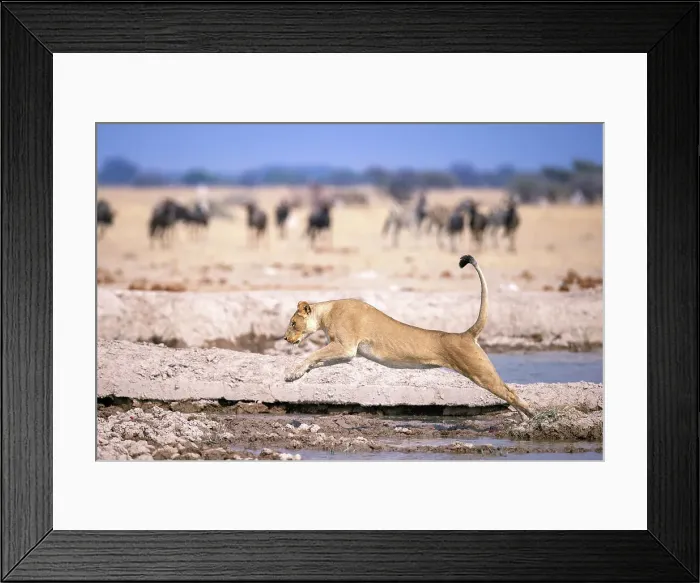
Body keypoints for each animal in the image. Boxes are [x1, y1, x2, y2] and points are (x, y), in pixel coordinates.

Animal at [282, 255, 534, 420]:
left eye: (293, 323)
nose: (285, 338)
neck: (327, 312)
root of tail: (465, 334)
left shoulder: (346, 347)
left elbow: (312, 354)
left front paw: (292, 372)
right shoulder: (346, 353)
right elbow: (317, 360)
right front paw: (297, 375)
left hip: (480, 371)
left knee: (510, 392)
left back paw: (532, 418)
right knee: (509, 392)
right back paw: (525, 419)